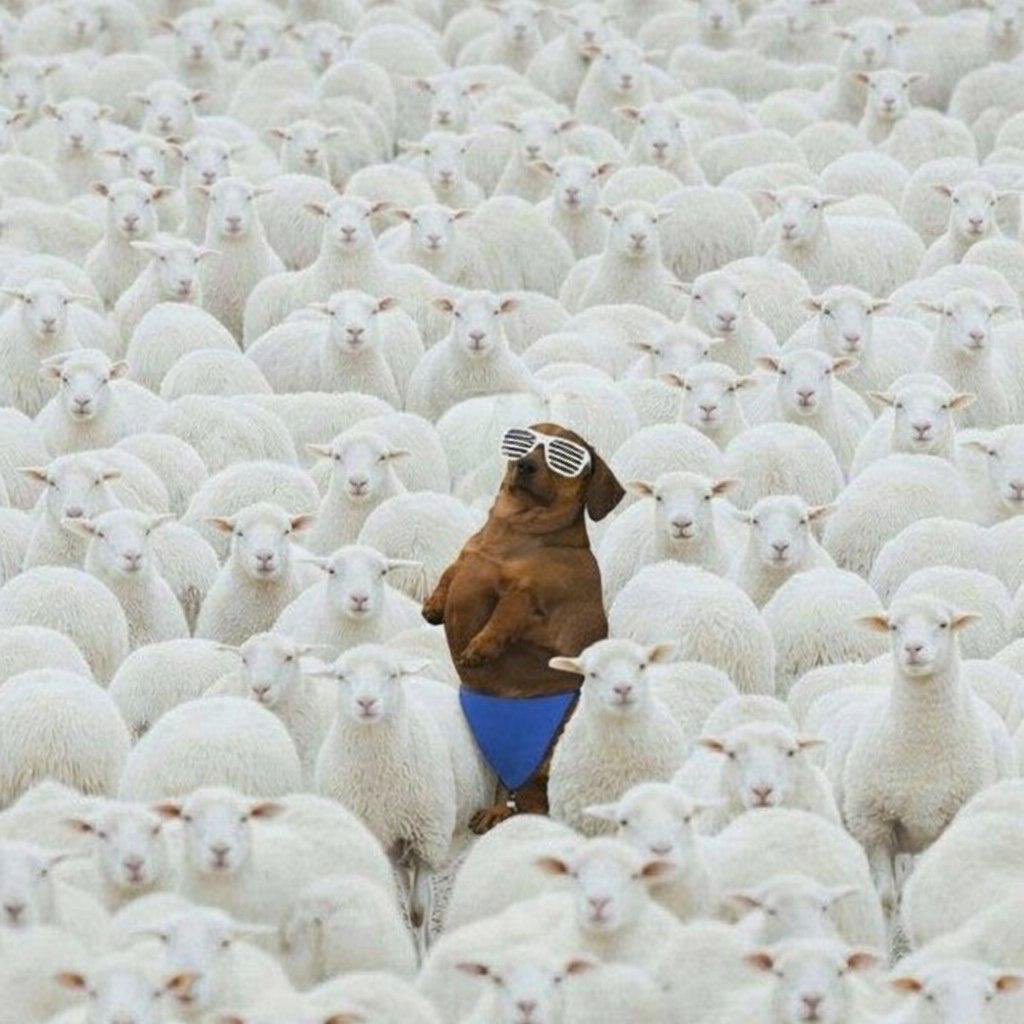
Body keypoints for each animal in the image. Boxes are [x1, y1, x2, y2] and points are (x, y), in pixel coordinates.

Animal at [311, 642, 492, 950]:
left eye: (392, 675)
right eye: (341, 677)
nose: (366, 702)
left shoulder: (425, 841)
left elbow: (418, 911)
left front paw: (422, 954)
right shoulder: (387, 845)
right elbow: (408, 908)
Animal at [842, 595, 1011, 919]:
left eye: (943, 624)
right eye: (893, 626)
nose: (913, 649)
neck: (923, 744)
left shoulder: (945, 821)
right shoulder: (874, 824)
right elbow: (886, 897)